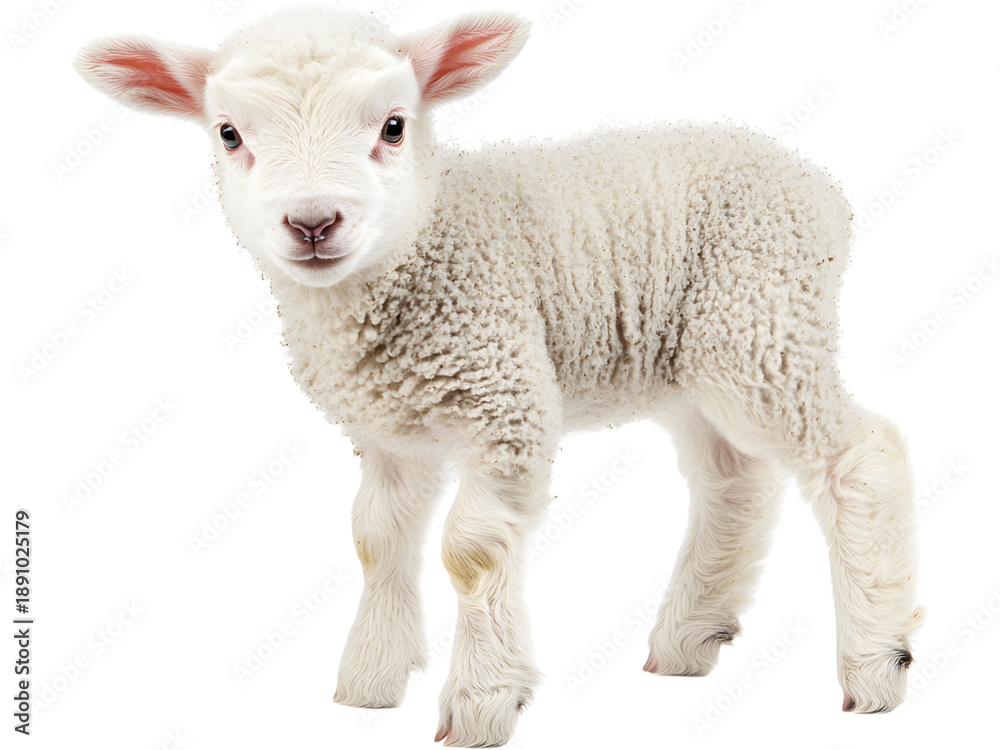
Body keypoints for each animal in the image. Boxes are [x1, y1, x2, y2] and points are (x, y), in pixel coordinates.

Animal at [73, 5, 922, 746]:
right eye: (229, 134)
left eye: (393, 125)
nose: (313, 223)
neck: (425, 240)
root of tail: (817, 187)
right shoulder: (389, 432)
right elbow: (375, 538)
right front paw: (370, 681)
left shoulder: (504, 398)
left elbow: (470, 550)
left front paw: (481, 702)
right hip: (697, 360)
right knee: (734, 478)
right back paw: (689, 636)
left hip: (759, 324)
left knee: (860, 453)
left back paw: (876, 664)